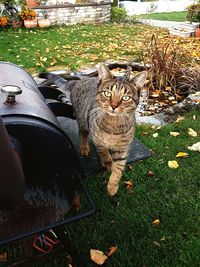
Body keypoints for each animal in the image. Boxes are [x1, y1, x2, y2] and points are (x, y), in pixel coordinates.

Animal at [39, 63, 147, 196]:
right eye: (108, 93)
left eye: (126, 97)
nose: (114, 106)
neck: (114, 124)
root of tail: (80, 81)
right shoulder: (98, 140)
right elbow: (104, 152)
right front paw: (107, 162)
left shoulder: (122, 148)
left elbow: (119, 168)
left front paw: (112, 186)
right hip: (82, 120)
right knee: (83, 133)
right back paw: (84, 147)